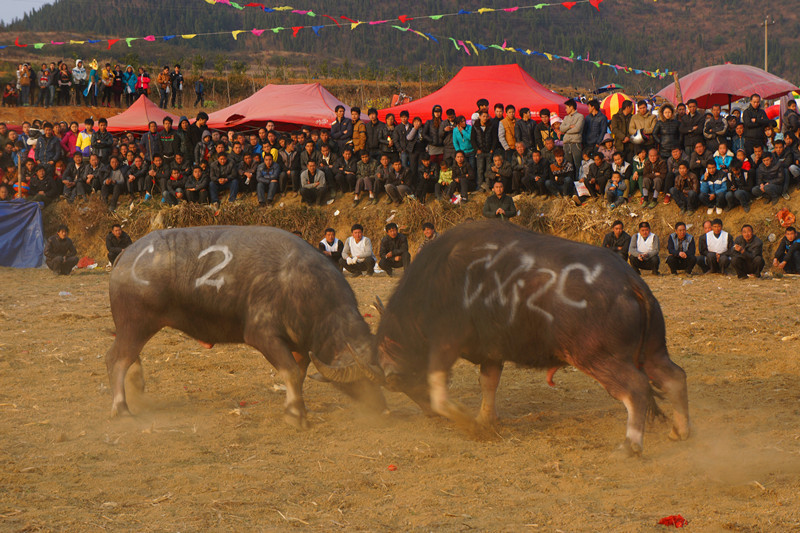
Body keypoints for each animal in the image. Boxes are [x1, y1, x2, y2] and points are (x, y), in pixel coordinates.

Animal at [106, 224, 384, 428]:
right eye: (361, 382)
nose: (382, 408)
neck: (298, 285)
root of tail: (126, 255)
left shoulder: (298, 345)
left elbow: (299, 372)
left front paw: (293, 407)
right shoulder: (263, 336)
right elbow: (291, 372)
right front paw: (297, 415)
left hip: (135, 327)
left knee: (128, 356)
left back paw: (136, 384)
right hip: (136, 324)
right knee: (116, 359)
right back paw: (121, 407)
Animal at [372, 219, 692, 454]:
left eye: (396, 383)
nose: (429, 415)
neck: (434, 282)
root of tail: (630, 282)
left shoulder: (444, 344)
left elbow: (440, 393)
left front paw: (470, 425)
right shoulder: (492, 352)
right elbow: (488, 384)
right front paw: (485, 421)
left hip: (598, 357)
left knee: (636, 389)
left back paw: (631, 445)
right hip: (652, 351)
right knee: (674, 377)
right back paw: (680, 430)